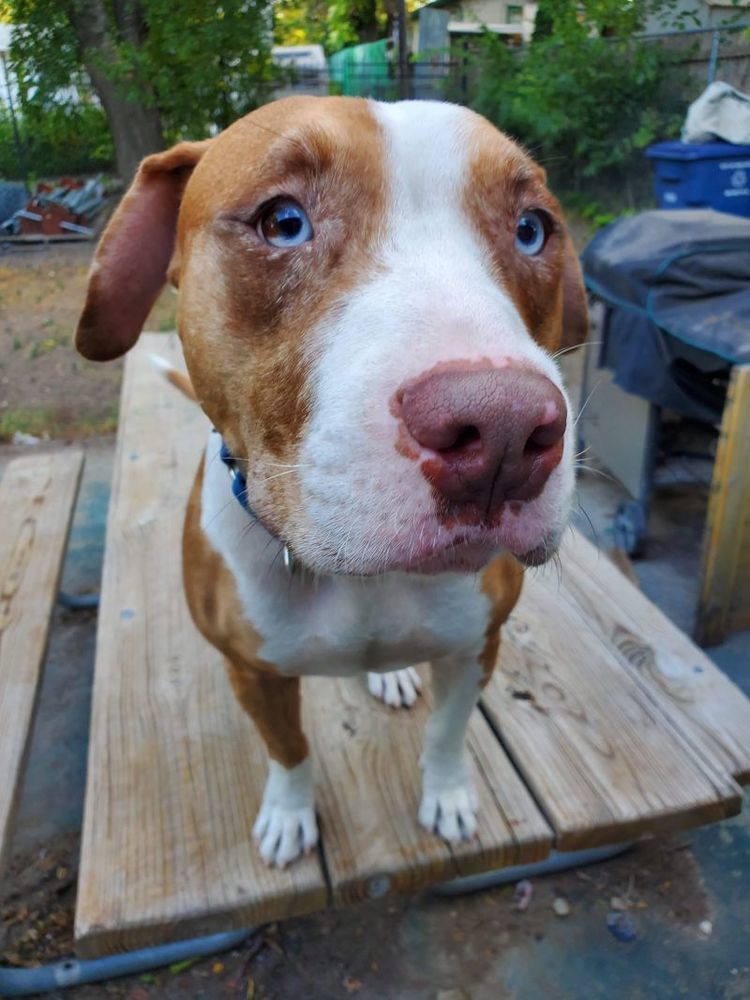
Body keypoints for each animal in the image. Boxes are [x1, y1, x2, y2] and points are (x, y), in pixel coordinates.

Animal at [79, 97, 592, 872]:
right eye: (282, 221)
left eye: (532, 229)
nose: (503, 431)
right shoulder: (252, 671)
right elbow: (288, 750)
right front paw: (289, 816)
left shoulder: (477, 645)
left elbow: (448, 732)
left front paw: (448, 794)